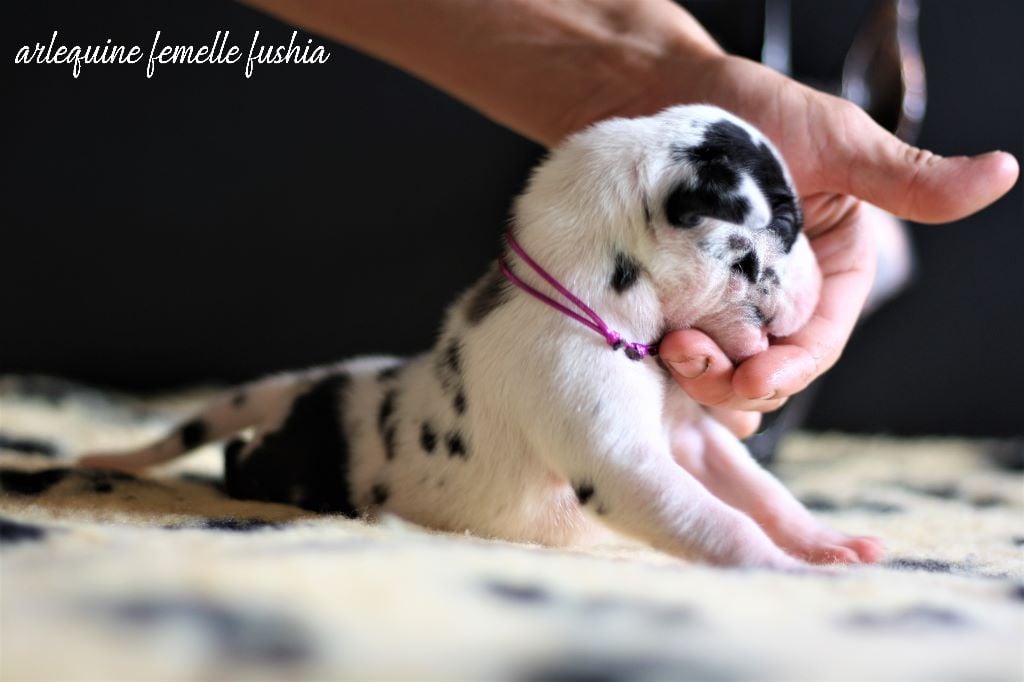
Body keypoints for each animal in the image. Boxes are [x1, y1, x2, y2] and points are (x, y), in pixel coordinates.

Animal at [81, 105, 883, 568]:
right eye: (787, 222)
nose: (824, 279)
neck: (608, 312)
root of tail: (320, 381)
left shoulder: (693, 440)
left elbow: (761, 493)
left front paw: (821, 542)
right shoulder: (625, 463)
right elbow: (720, 522)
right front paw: (783, 572)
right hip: (296, 468)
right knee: (240, 458)